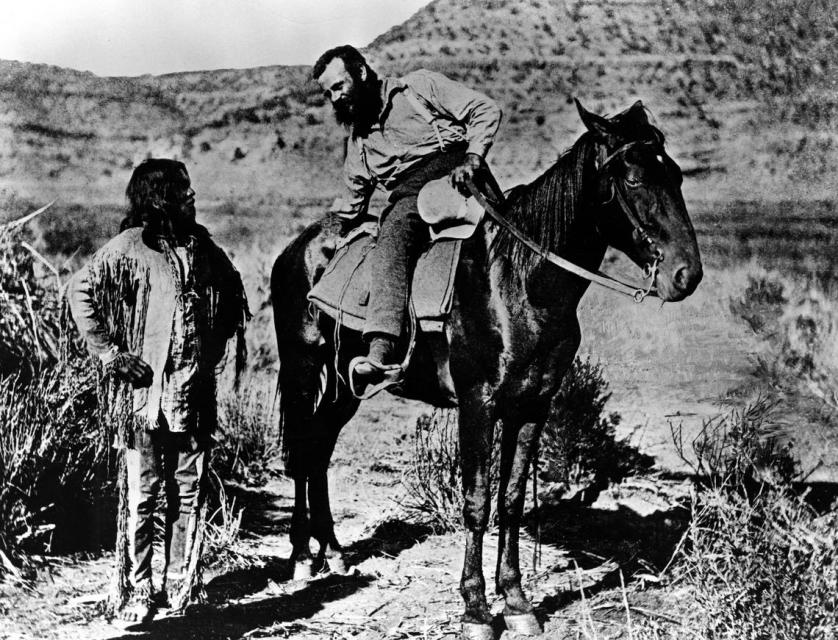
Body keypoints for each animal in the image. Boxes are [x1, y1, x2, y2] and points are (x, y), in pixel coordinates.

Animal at [274, 97, 704, 636]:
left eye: (676, 175)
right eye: (632, 178)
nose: (687, 275)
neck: (519, 282)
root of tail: (299, 247)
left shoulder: (533, 406)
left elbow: (512, 500)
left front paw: (517, 602)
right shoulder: (477, 404)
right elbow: (477, 501)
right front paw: (476, 608)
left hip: (342, 386)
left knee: (319, 451)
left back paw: (331, 550)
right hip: (303, 370)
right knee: (303, 451)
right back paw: (299, 557)